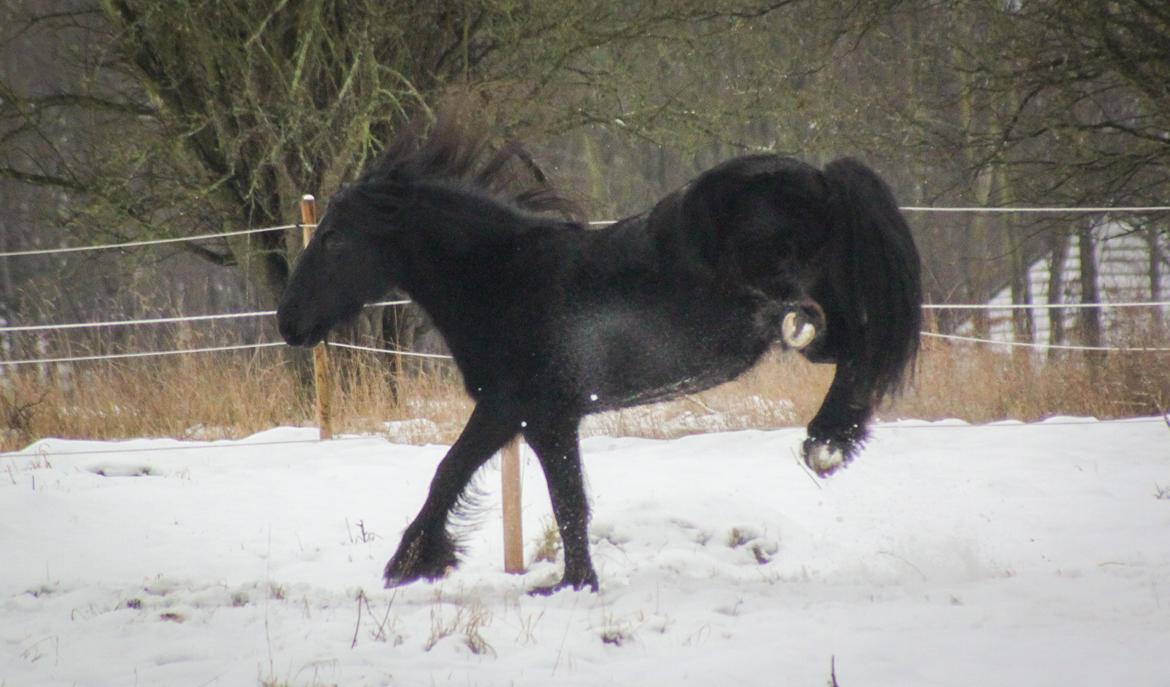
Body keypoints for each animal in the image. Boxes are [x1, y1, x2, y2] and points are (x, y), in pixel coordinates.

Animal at [277, 114, 922, 594]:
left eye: (334, 237)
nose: (289, 323)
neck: (502, 278)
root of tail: (821, 177)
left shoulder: (514, 408)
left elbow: (454, 474)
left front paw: (411, 563)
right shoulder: (542, 420)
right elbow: (567, 502)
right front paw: (573, 583)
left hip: (797, 291)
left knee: (847, 341)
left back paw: (823, 437)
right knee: (853, 350)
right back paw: (832, 442)